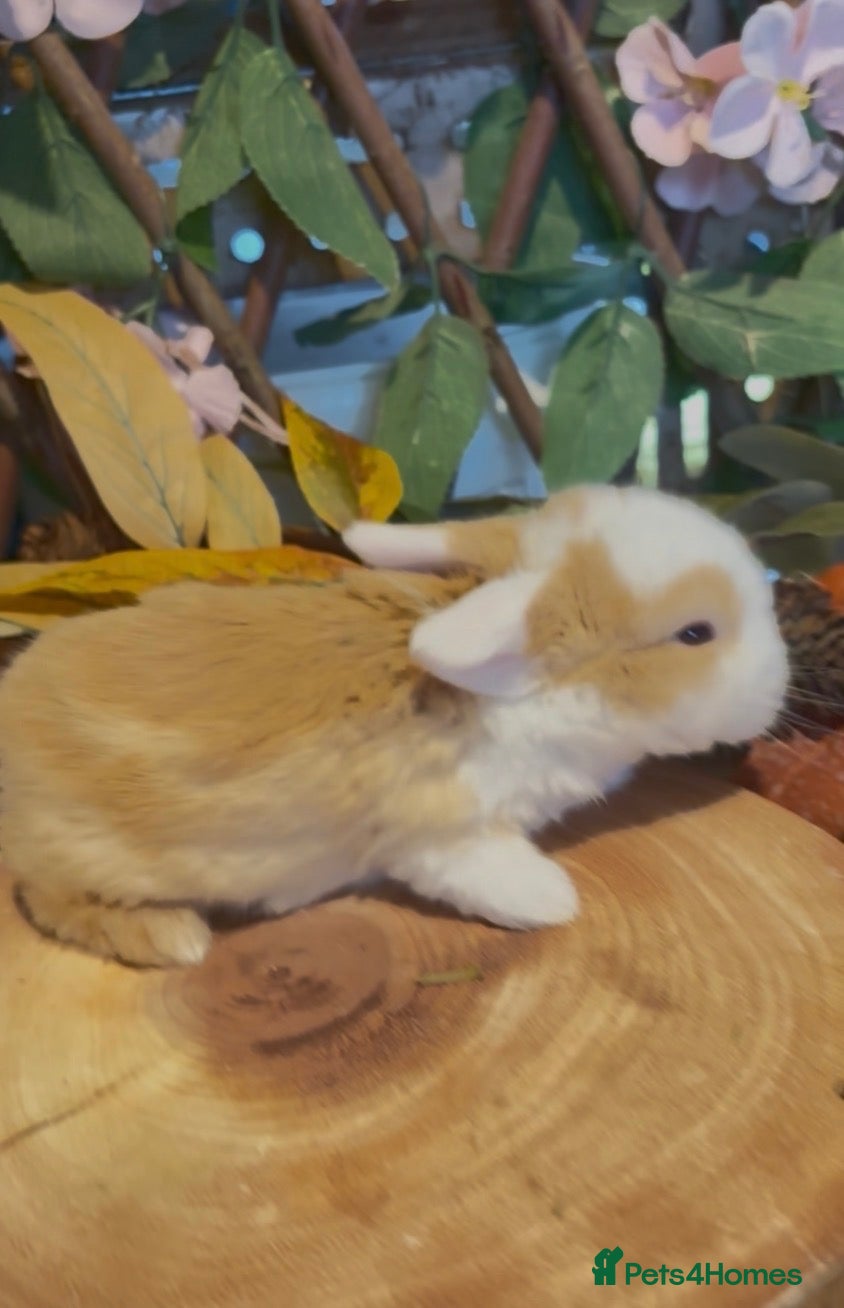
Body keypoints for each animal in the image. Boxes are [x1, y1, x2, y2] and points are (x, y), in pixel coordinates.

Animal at [0, 484, 789, 968]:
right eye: (695, 634)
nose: (780, 683)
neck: (529, 695)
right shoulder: (437, 834)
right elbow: (483, 870)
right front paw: (552, 901)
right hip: (83, 857)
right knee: (52, 899)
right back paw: (174, 939)